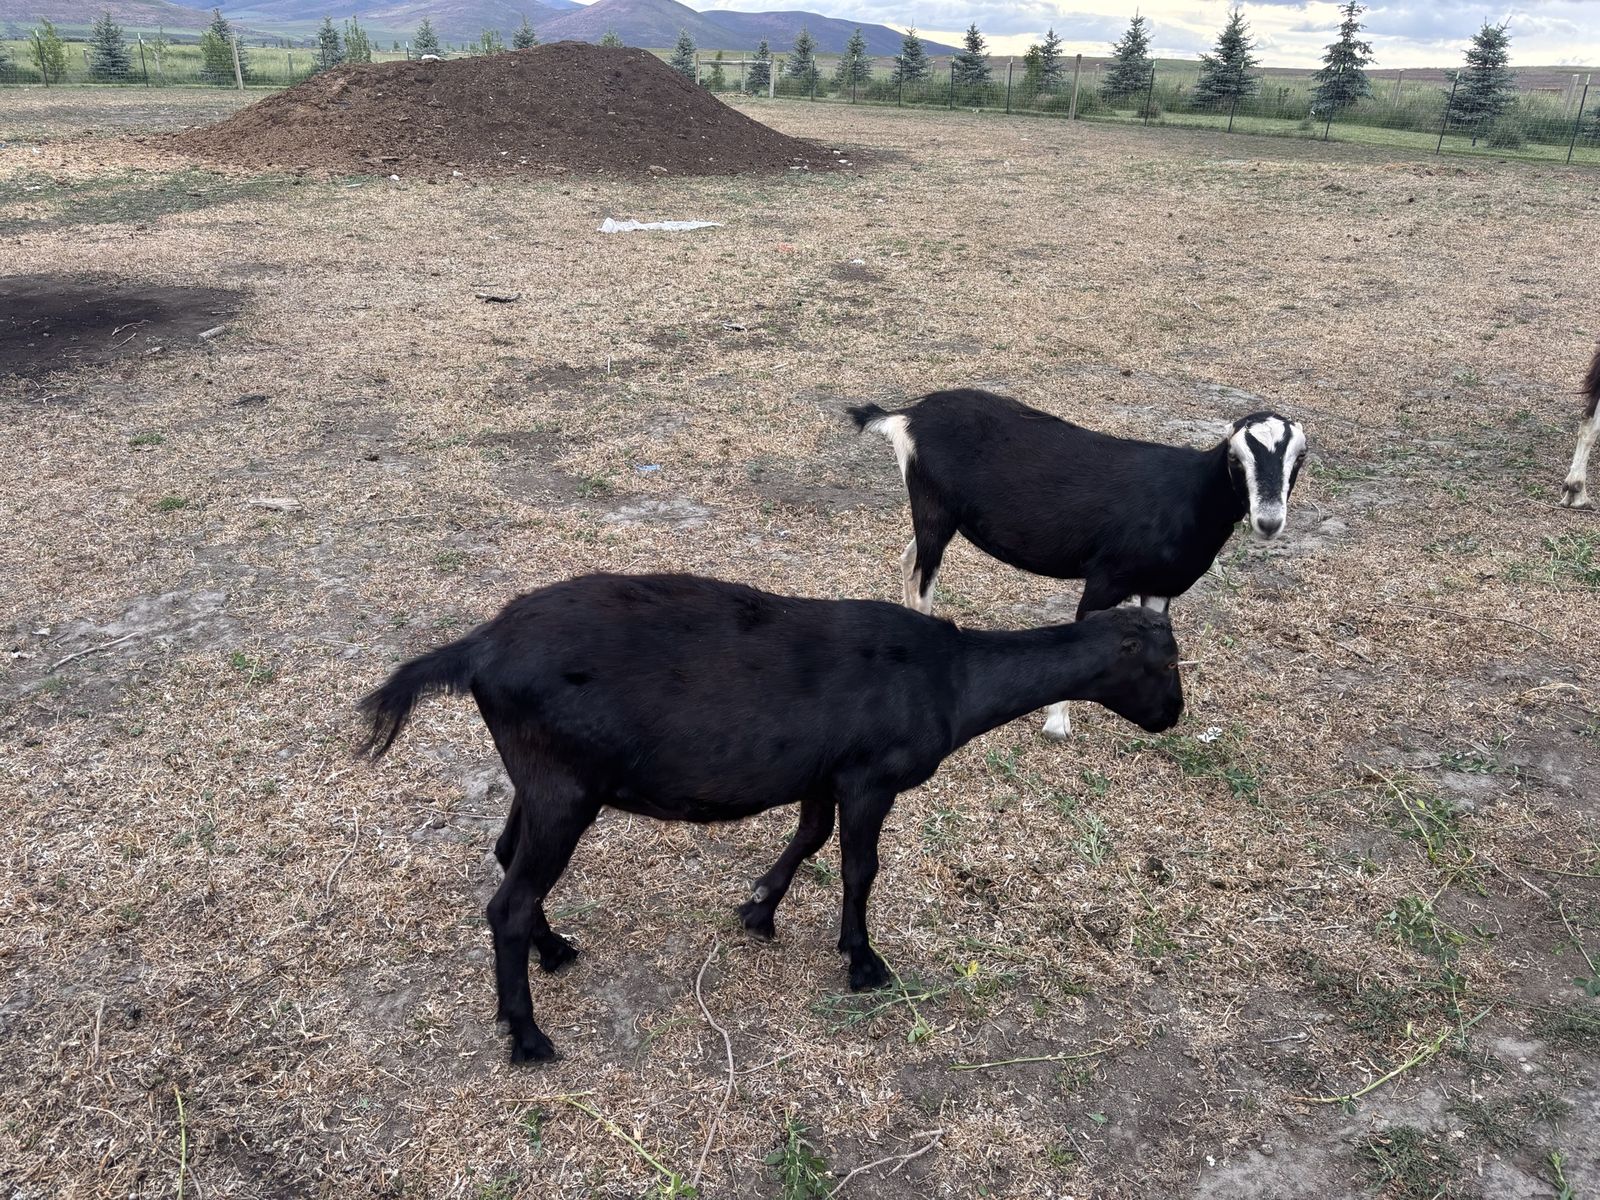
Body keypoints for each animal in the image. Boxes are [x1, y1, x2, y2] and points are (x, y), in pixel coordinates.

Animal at [359, 572, 1184, 1063]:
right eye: (1165, 664)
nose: (1173, 716)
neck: (951, 678)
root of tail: (479, 649)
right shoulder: (870, 775)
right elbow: (859, 865)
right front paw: (863, 962)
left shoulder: (824, 771)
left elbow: (810, 836)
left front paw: (759, 909)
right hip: (563, 785)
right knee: (508, 900)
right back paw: (528, 1035)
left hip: (542, 778)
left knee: (509, 857)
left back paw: (553, 950)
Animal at [850, 388, 1306, 739]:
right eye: (1235, 459)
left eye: (1298, 460)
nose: (1268, 522)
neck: (1188, 495)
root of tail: (907, 415)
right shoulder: (1105, 578)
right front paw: (1056, 725)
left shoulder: (1159, 588)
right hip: (934, 508)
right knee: (923, 581)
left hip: (941, 516)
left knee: (910, 559)